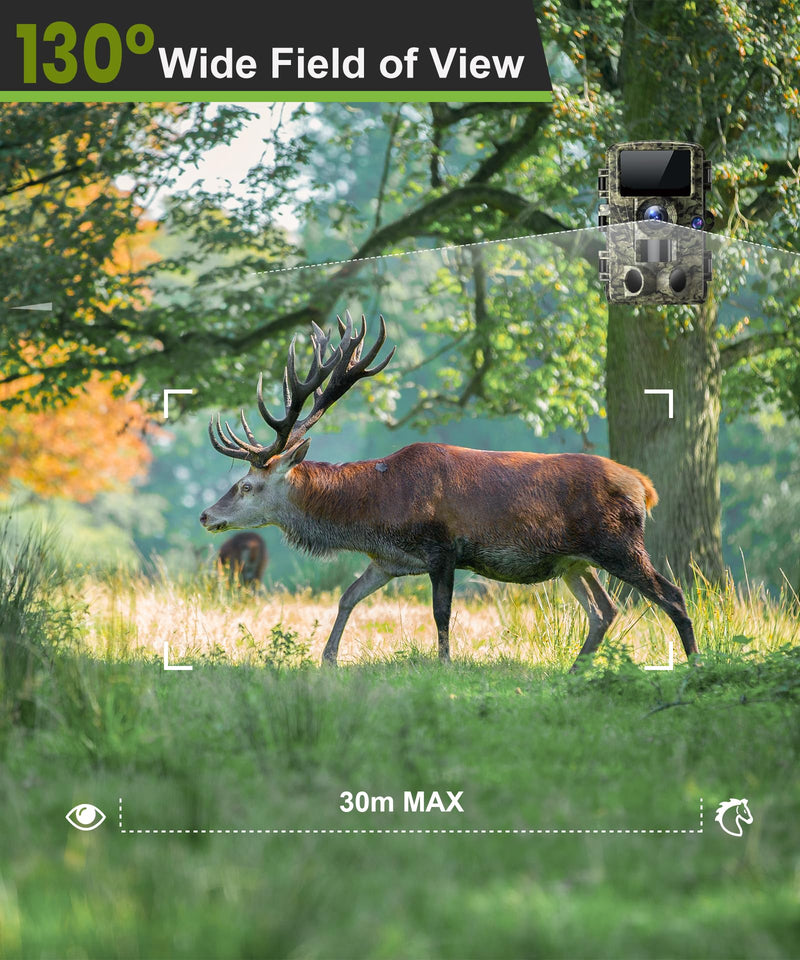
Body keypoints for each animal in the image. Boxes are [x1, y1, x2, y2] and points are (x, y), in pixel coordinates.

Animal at [200, 313, 699, 671]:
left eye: (246, 485)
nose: (206, 515)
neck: (374, 514)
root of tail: (644, 487)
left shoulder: (443, 548)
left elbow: (441, 613)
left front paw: (444, 665)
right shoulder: (388, 561)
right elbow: (347, 597)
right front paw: (327, 659)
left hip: (619, 544)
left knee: (672, 596)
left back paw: (696, 665)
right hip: (573, 561)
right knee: (604, 611)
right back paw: (576, 670)